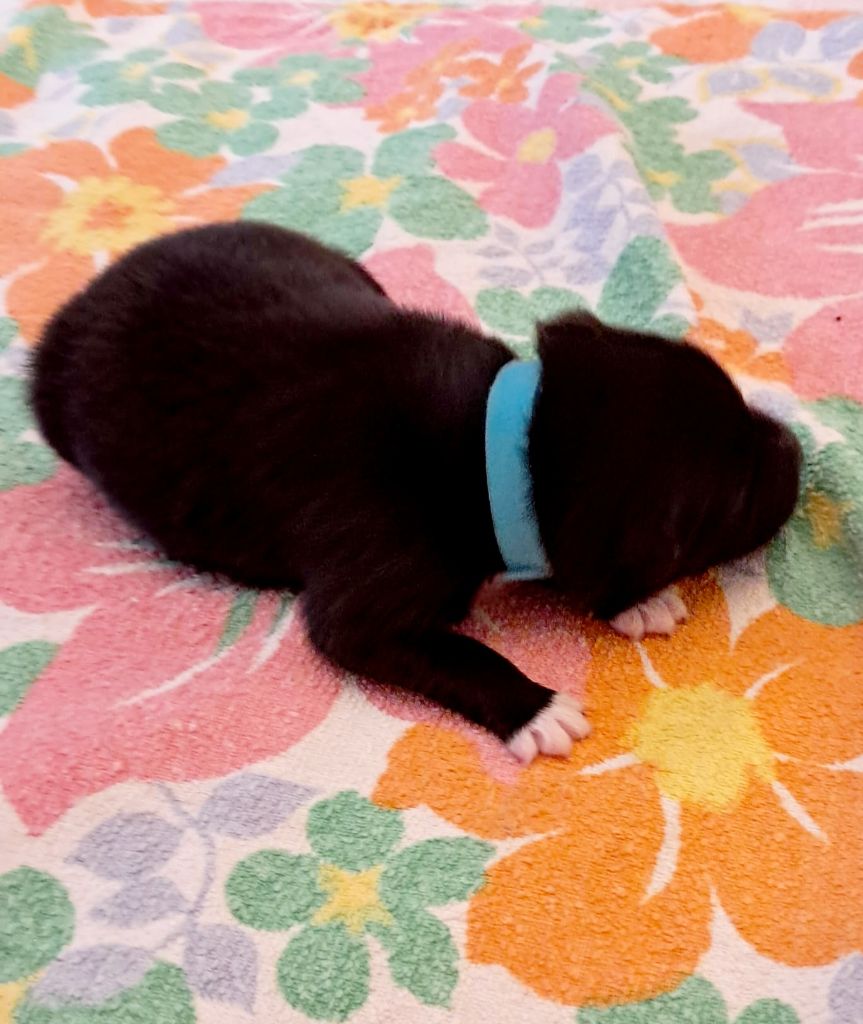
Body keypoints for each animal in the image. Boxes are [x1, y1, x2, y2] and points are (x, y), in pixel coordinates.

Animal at [31, 222, 801, 763]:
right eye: (730, 502)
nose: (797, 451)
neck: (495, 439)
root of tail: (86, 294)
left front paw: (636, 602)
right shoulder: (363, 607)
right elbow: (456, 650)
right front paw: (536, 708)